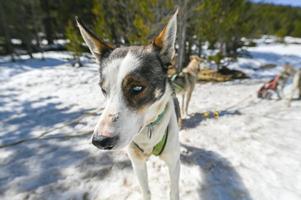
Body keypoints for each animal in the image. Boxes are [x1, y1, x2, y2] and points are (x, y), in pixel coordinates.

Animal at [76, 9, 179, 200]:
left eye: (137, 88)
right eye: (103, 90)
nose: (100, 141)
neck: (149, 131)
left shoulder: (174, 163)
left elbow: (173, 191)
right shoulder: (137, 163)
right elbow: (146, 191)